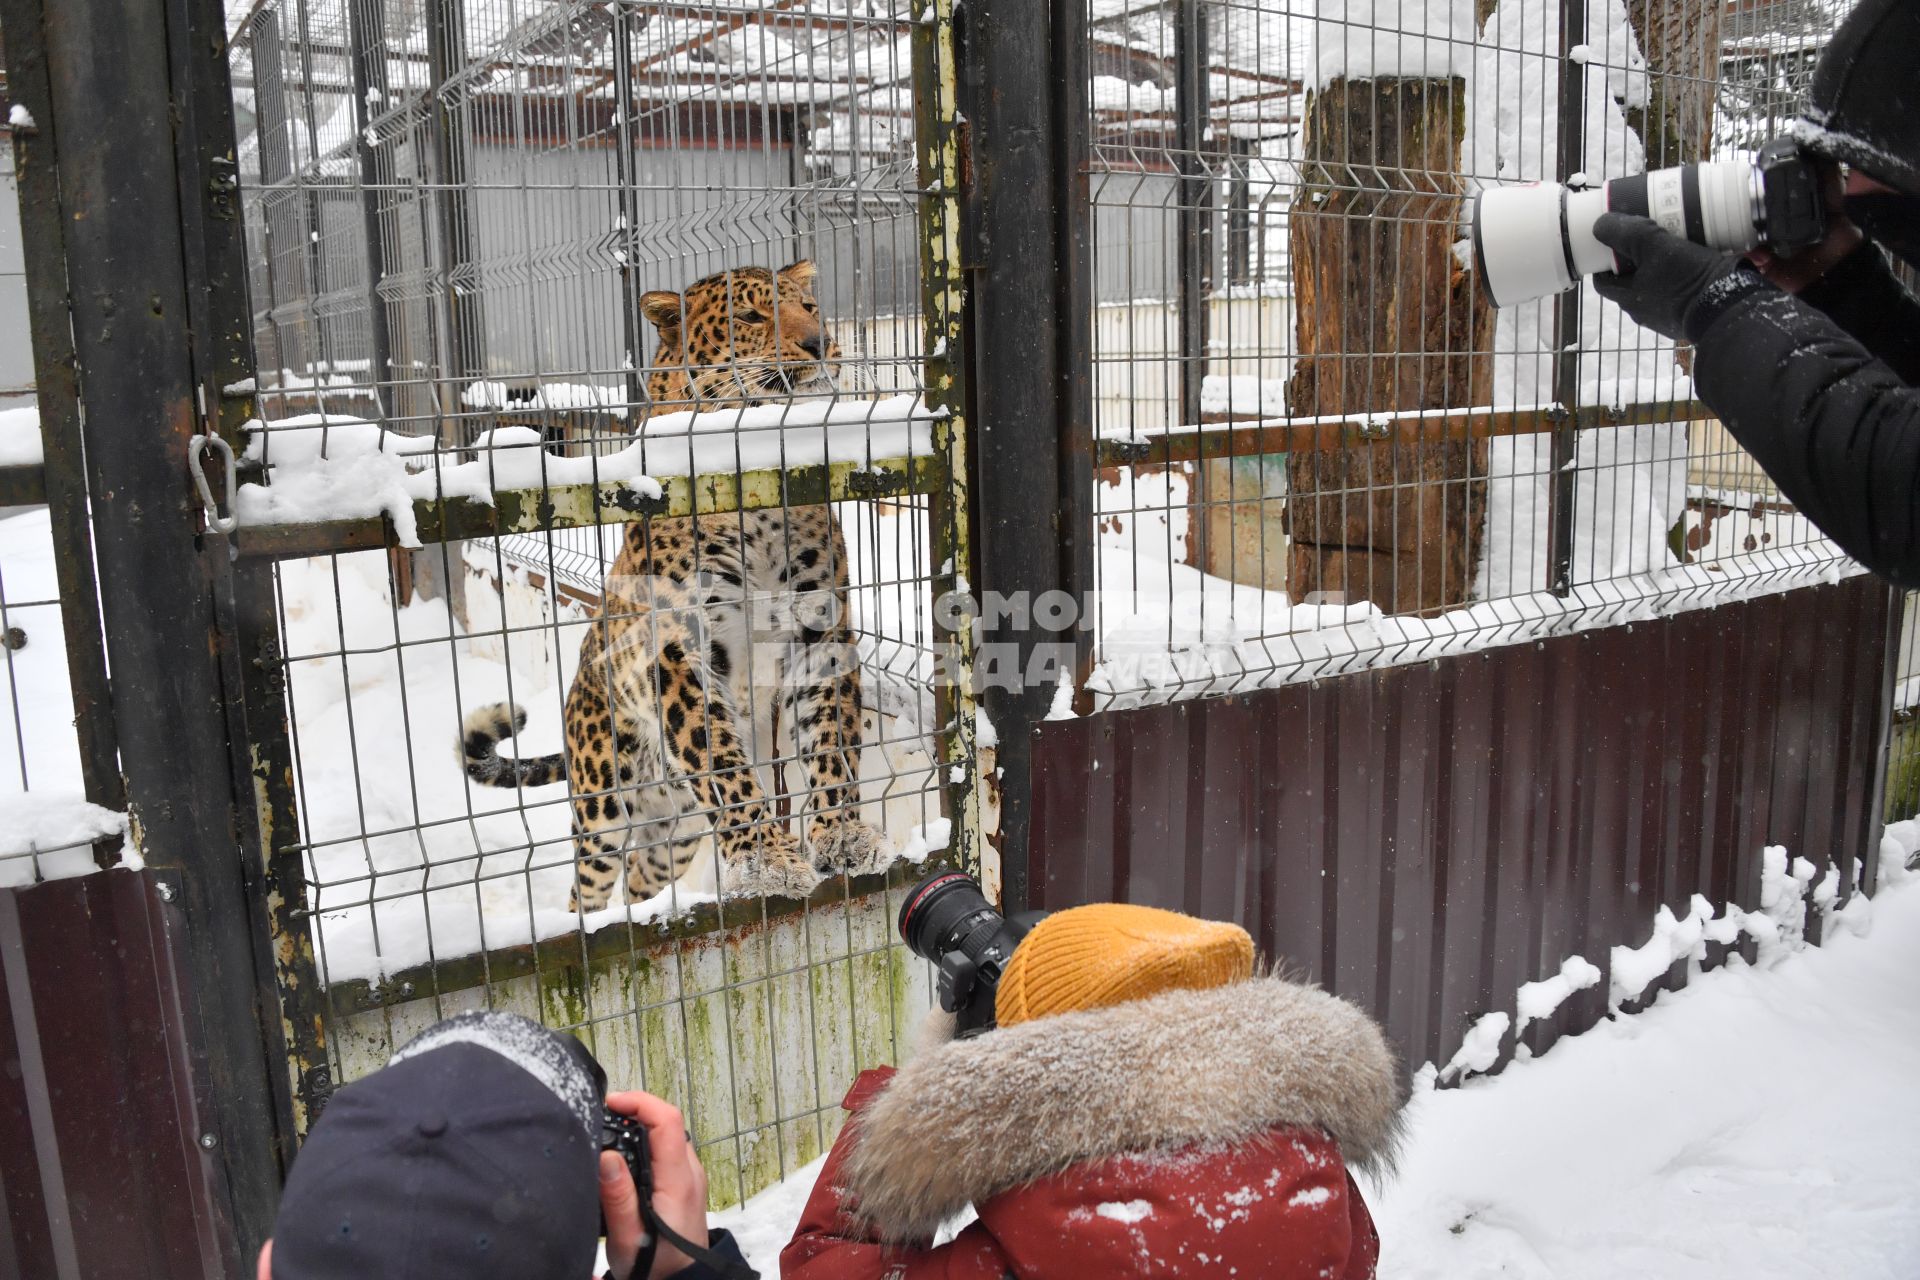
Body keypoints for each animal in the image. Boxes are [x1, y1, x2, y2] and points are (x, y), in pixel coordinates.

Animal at [460, 257, 887, 909]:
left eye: (810, 308)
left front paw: (843, 835)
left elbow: (831, 743)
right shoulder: (679, 650)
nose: (821, 343)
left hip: (675, 837)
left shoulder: (821, 634)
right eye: (750, 315)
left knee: (642, 879)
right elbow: (724, 765)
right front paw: (768, 860)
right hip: (602, 807)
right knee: (587, 887)